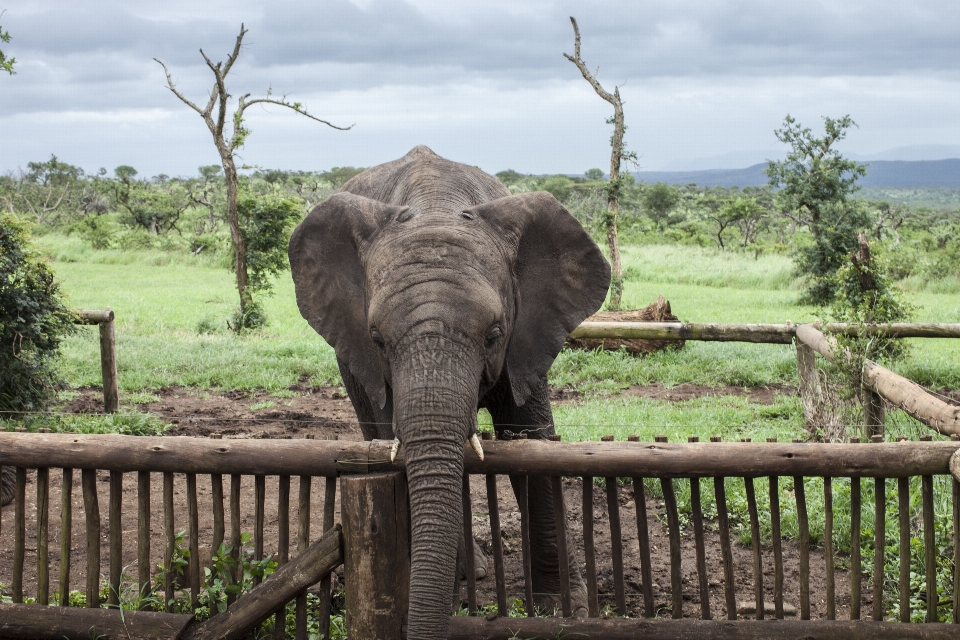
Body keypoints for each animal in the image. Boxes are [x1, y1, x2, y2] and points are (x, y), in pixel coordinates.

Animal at [288, 146, 612, 640]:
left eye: (494, 334)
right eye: (377, 339)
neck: (435, 207)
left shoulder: (529, 331)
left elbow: (531, 438)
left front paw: (562, 608)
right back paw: (468, 574)